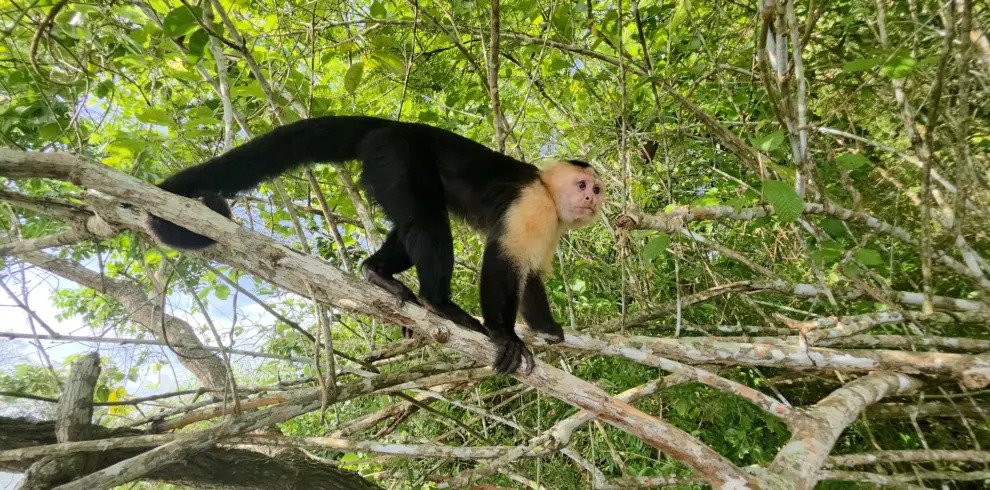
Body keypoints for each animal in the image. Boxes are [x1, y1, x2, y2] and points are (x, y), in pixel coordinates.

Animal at [145, 115, 605, 375]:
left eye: (597, 189)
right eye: (583, 185)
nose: (591, 199)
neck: (548, 192)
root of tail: (398, 126)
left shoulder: (554, 224)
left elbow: (531, 276)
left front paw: (547, 328)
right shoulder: (534, 206)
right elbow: (502, 262)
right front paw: (505, 336)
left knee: (413, 222)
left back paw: (375, 271)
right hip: (395, 155)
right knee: (428, 219)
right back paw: (439, 302)